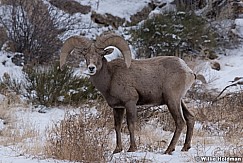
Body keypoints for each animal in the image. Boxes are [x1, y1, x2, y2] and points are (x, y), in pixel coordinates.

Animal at [59, 31, 196, 154]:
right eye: (85, 55)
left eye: (101, 54)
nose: (91, 68)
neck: (110, 77)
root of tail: (187, 70)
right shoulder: (118, 107)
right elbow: (117, 126)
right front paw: (117, 150)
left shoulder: (130, 103)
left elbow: (130, 125)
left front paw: (132, 148)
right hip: (178, 101)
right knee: (190, 118)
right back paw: (185, 148)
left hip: (172, 100)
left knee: (180, 122)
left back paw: (168, 150)